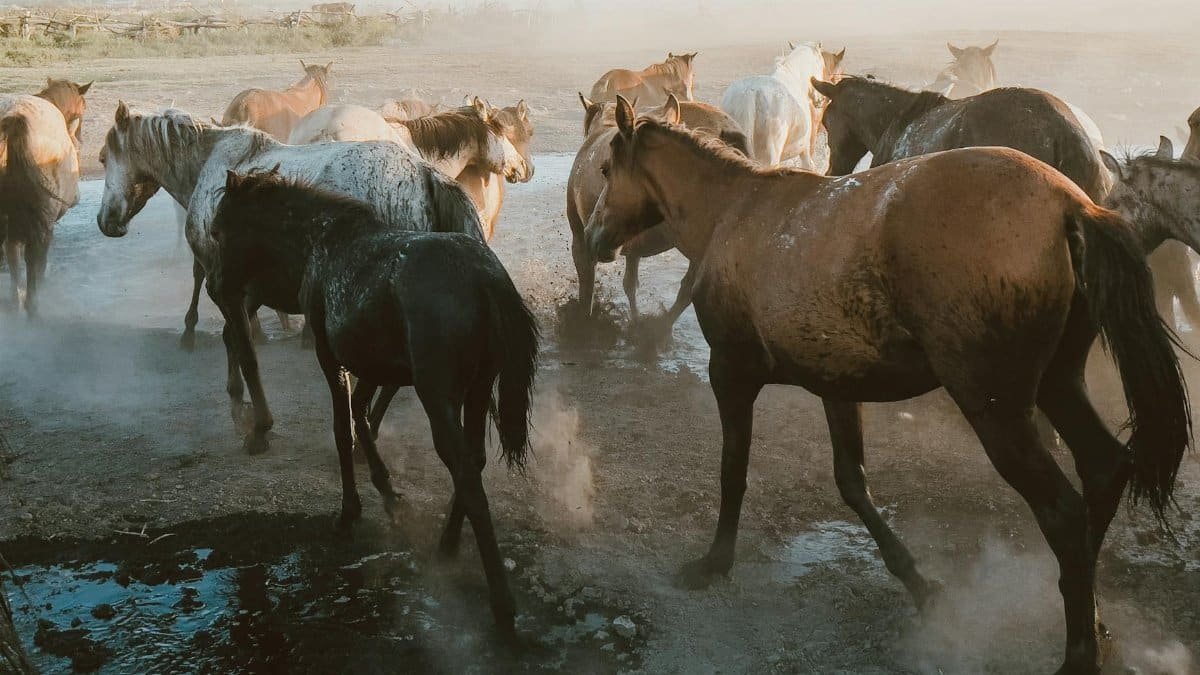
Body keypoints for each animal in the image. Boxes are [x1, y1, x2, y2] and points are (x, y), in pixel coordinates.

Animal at [0, 95, 80, 317]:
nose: (76, 198)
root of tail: (13, 117)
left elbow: (12, 255)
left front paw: (14, 298)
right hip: (41, 213)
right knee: (33, 254)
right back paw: (33, 305)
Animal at [96, 104, 486, 453]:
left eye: (102, 158)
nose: (105, 221)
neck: (209, 166)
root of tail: (425, 174)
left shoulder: (225, 286)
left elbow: (245, 351)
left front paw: (257, 426)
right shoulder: (246, 290)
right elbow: (231, 339)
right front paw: (240, 408)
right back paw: (369, 429)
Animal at [209, 166, 537, 635]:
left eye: (217, 231)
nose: (216, 288)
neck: (321, 241)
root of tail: (485, 277)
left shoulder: (330, 355)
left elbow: (342, 427)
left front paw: (350, 511)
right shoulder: (376, 368)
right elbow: (361, 417)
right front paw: (388, 491)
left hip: (438, 396)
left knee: (465, 472)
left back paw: (501, 603)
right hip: (475, 391)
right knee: (473, 461)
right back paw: (447, 543)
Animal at [584, 97, 1190, 674]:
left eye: (608, 169)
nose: (593, 239)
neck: (734, 213)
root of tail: (1072, 205)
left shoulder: (730, 373)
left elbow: (733, 472)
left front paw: (715, 562)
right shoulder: (834, 382)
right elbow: (852, 482)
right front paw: (918, 581)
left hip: (997, 409)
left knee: (1063, 512)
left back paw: (1079, 652)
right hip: (1058, 384)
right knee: (1104, 470)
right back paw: (1094, 617)